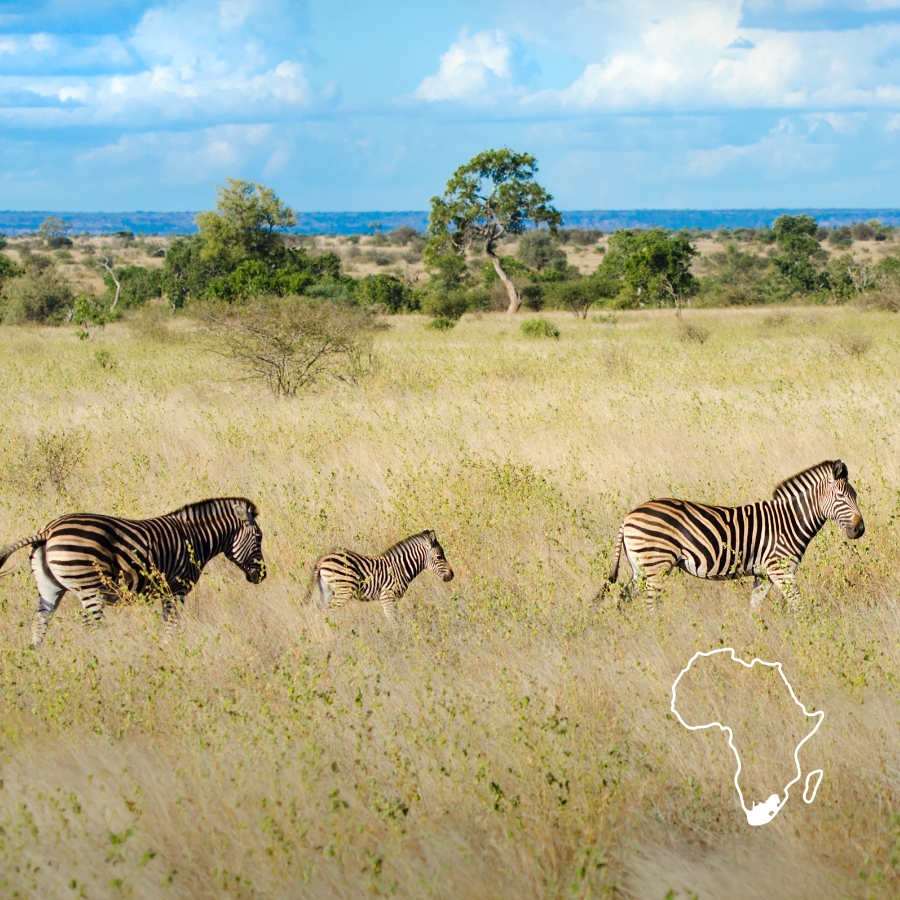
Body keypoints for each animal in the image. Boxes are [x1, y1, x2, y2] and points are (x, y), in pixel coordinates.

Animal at [0, 496, 266, 644]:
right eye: (259, 537)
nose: (261, 575)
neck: (194, 539)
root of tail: (48, 530)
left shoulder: (167, 591)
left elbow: (166, 623)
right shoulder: (177, 589)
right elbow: (172, 625)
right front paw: (170, 651)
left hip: (49, 587)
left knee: (39, 625)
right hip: (89, 587)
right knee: (91, 627)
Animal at [310, 532, 454, 624]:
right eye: (440, 557)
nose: (452, 575)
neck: (400, 568)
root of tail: (324, 557)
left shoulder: (390, 599)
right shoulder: (388, 596)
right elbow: (393, 620)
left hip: (327, 591)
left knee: (320, 613)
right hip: (344, 591)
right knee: (328, 612)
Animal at [600, 460, 860, 608]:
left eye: (855, 496)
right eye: (841, 497)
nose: (860, 529)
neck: (789, 521)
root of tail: (628, 516)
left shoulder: (763, 574)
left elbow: (755, 610)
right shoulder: (781, 569)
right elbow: (798, 606)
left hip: (640, 568)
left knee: (623, 597)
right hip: (656, 565)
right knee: (649, 605)